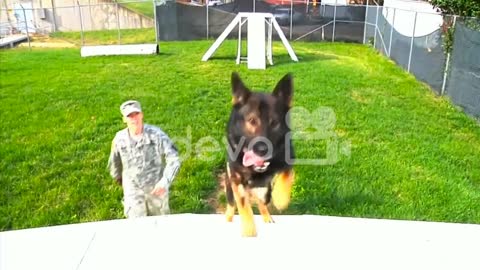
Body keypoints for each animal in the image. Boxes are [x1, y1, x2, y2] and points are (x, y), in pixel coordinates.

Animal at [224, 72, 294, 236]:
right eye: (252, 120)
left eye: (274, 123)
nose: (263, 150)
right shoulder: (236, 181)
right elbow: (244, 207)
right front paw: (249, 231)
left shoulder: (289, 158)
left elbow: (287, 174)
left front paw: (281, 198)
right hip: (230, 189)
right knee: (231, 205)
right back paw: (228, 218)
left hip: (266, 191)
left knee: (262, 203)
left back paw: (267, 216)